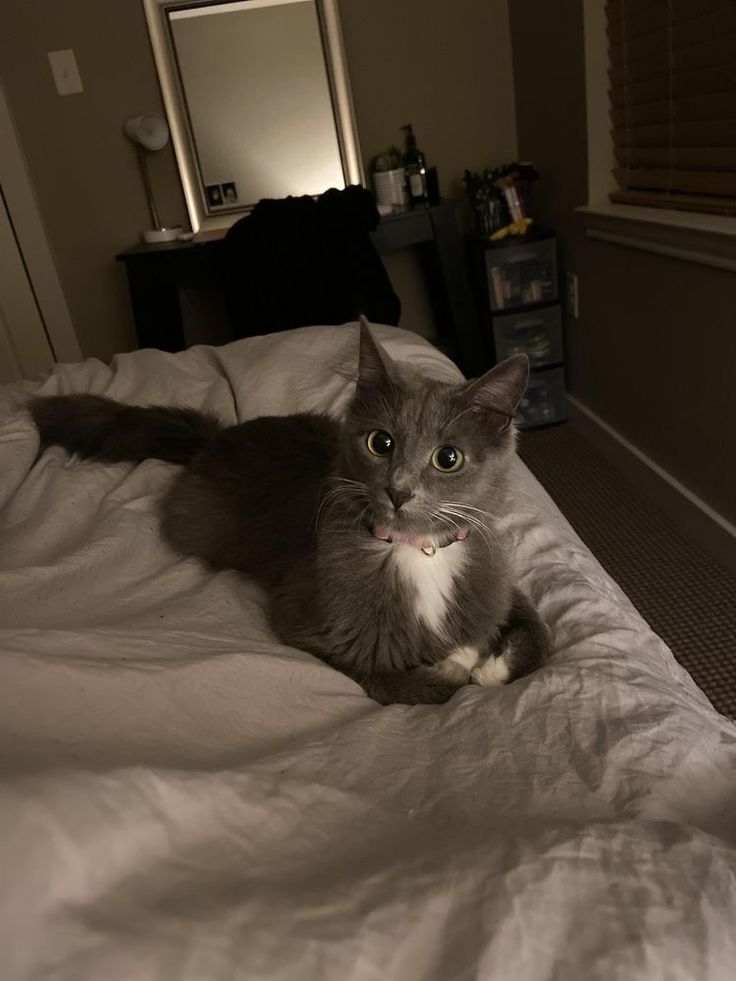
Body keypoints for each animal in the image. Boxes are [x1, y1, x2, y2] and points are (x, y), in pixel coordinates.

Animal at [30, 324, 548, 704]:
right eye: (380, 442)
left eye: (448, 458)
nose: (398, 490)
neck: (418, 554)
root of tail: (217, 436)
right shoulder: (312, 628)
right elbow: (409, 684)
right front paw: (463, 661)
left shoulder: (497, 583)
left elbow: (540, 632)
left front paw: (491, 663)